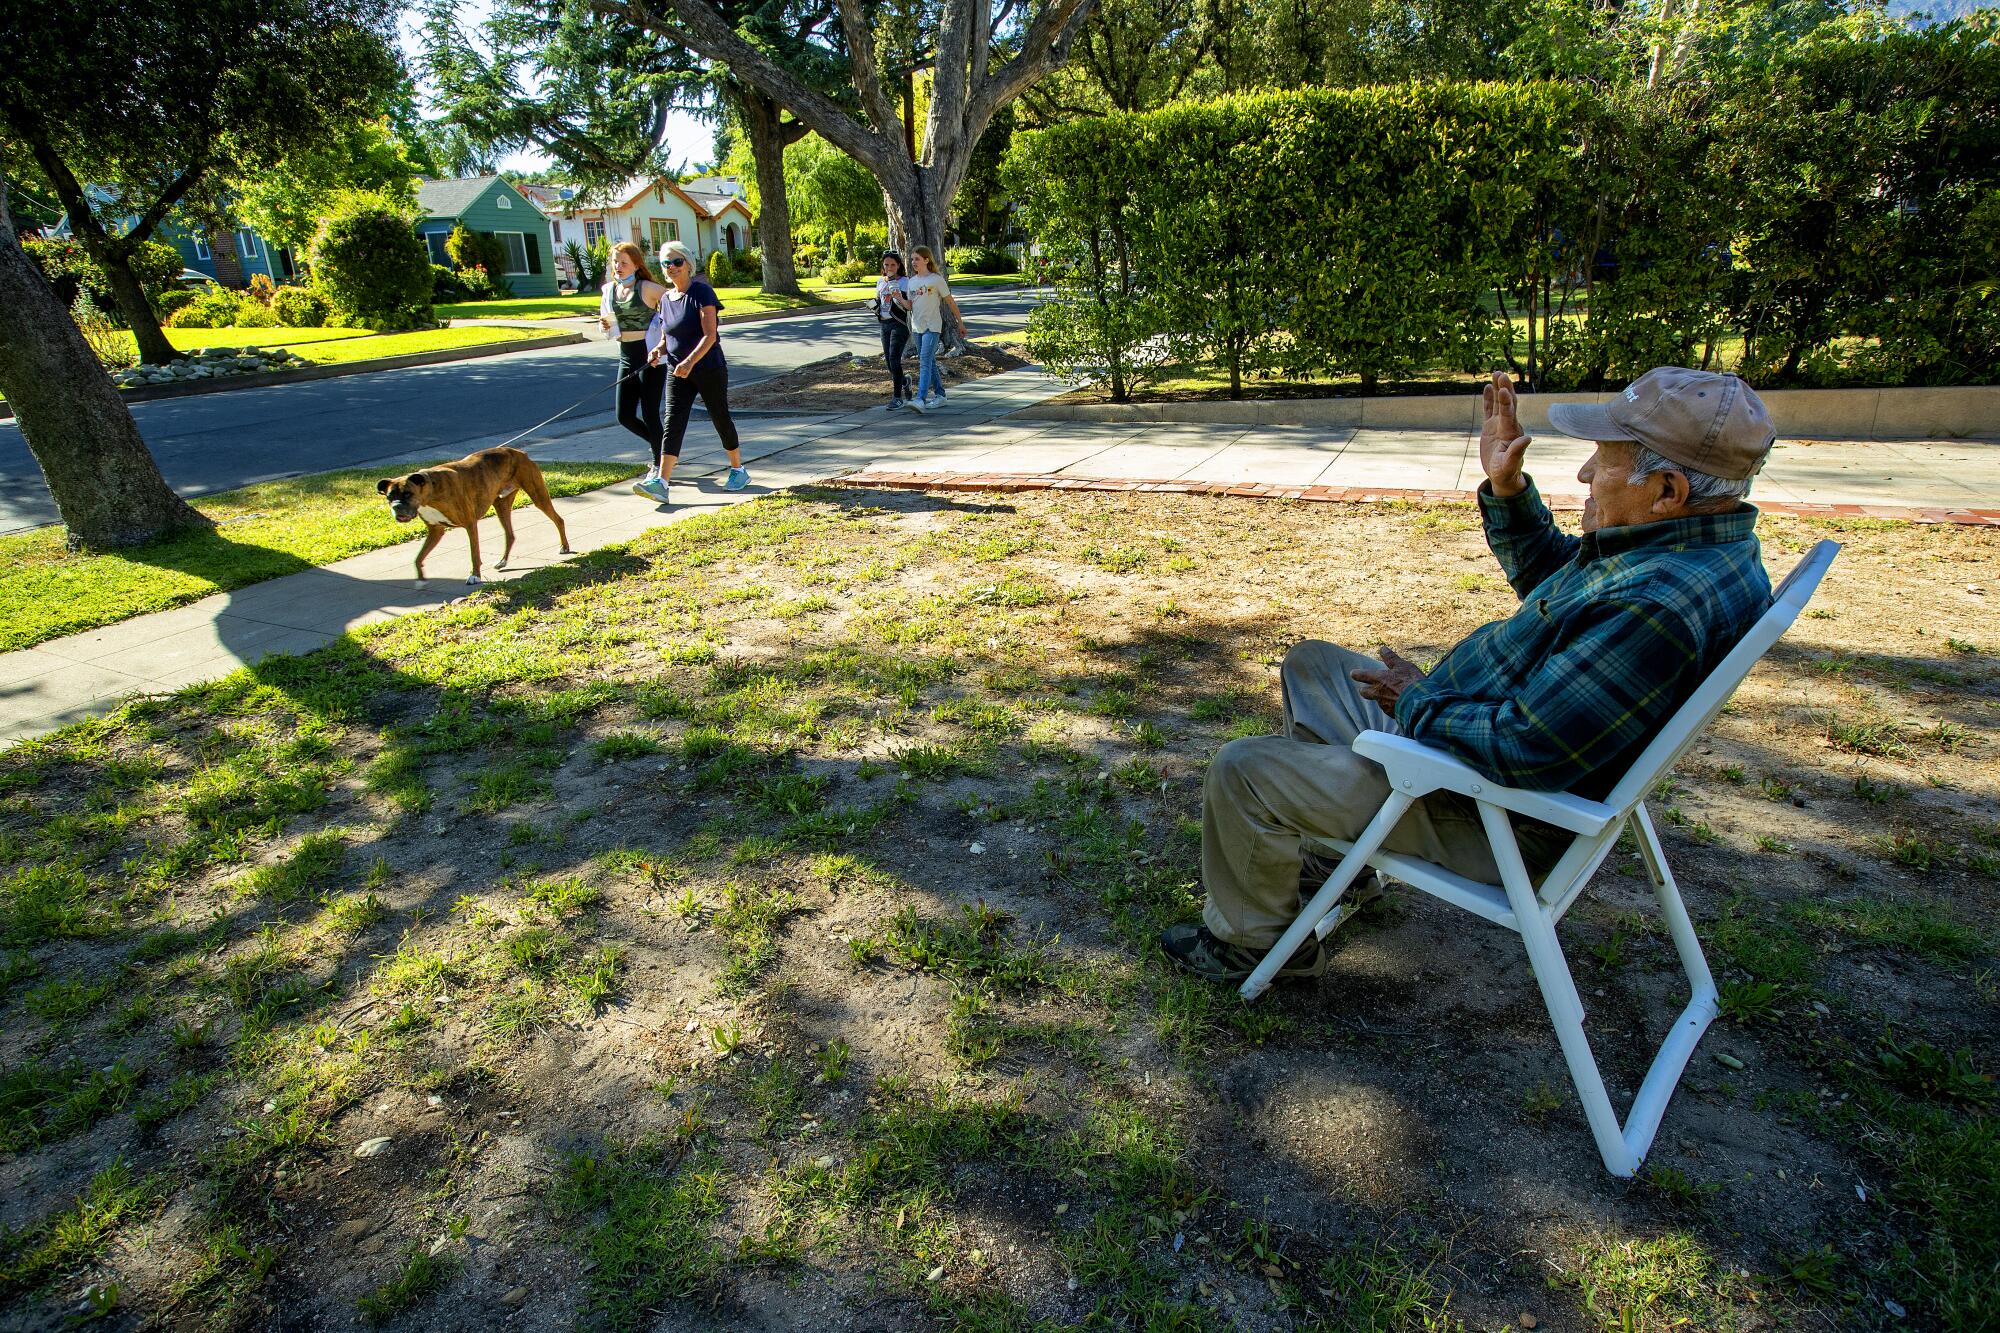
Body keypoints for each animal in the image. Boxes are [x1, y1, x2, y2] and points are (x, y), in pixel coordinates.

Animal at [376, 446, 572, 588]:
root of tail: (520, 452)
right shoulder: (435, 531)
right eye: (389, 497)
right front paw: (420, 579)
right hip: (501, 505)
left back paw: (564, 547)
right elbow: (418, 558)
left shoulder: (470, 524)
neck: (430, 490)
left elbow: (474, 553)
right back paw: (503, 561)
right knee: (510, 534)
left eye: (408, 494)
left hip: (538, 496)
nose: (397, 507)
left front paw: (475, 576)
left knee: (558, 520)